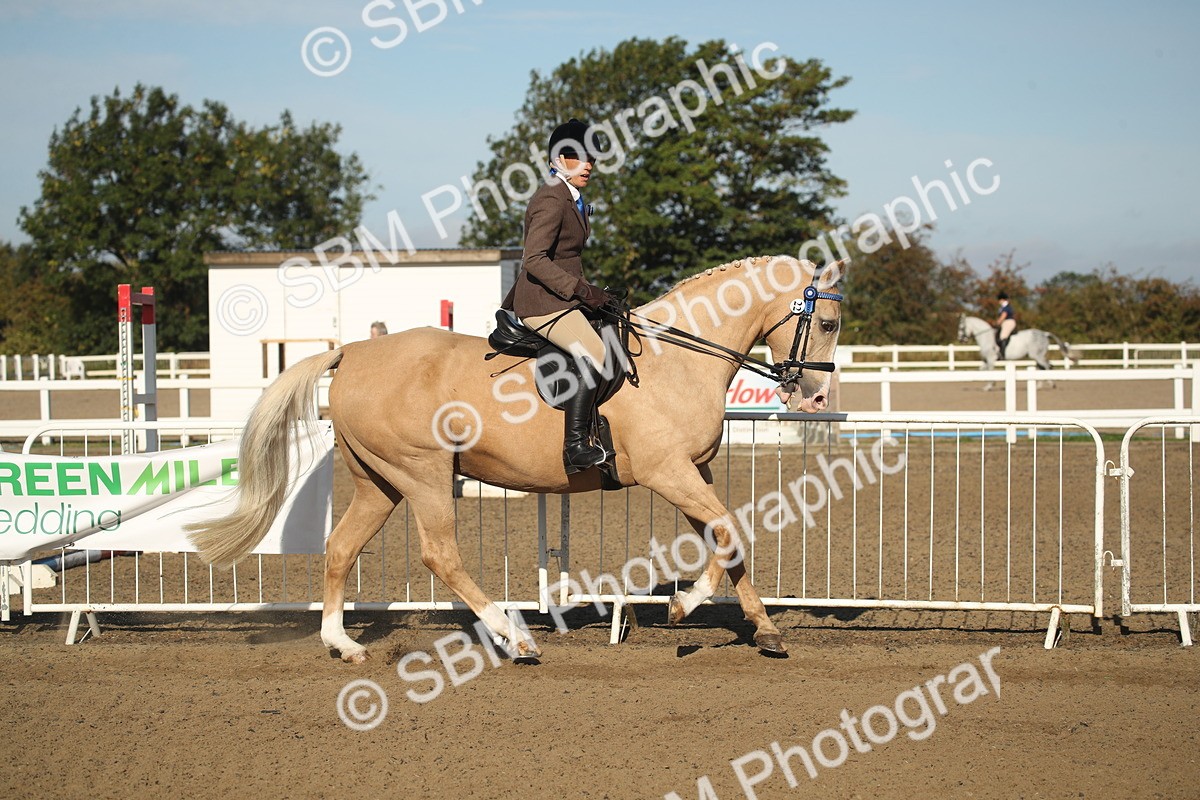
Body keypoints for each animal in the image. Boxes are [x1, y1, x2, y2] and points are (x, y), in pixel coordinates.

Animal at [187, 256, 847, 662]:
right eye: (829, 321)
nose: (814, 396)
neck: (676, 359)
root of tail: (352, 351)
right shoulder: (668, 471)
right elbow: (730, 531)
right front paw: (682, 607)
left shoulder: (695, 469)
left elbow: (726, 538)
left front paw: (765, 630)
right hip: (423, 473)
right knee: (440, 553)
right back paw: (515, 639)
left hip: (379, 480)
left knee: (341, 547)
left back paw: (342, 645)